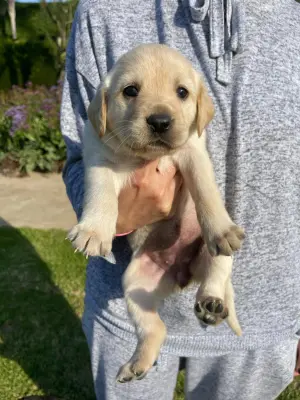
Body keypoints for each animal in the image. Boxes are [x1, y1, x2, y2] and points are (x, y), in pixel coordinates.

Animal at [69, 43, 245, 382]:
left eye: (182, 92)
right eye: (130, 91)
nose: (160, 121)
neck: (144, 157)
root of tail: (184, 273)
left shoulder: (194, 153)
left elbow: (206, 192)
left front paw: (220, 227)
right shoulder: (99, 157)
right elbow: (101, 194)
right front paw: (93, 230)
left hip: (215, 257)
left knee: (217, 274)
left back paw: (212, 303)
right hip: (135, 283)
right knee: (156, 328)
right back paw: (136, 365)